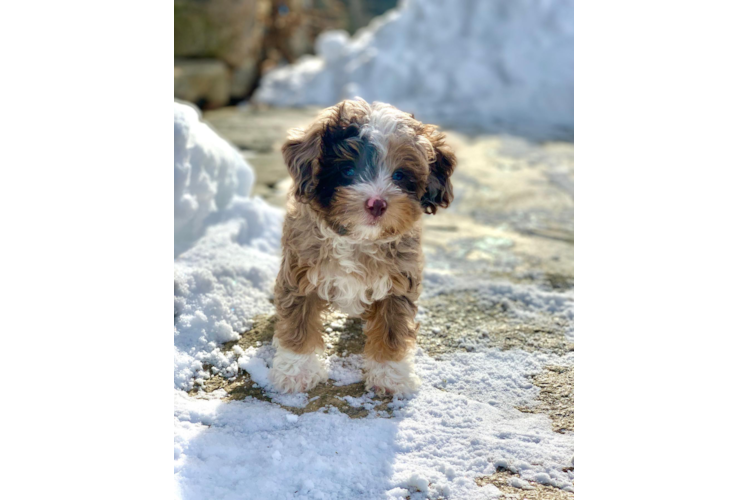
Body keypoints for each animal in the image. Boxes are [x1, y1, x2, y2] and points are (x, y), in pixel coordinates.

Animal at [268, 97, 456, 394]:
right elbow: (299, 321)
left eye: (399, 175)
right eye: (348, 170)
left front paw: (392, 374)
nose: (377, 203)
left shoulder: (398, 279)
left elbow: (392, 328)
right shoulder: (300, 271)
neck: (358, 239)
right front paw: (296, 371)